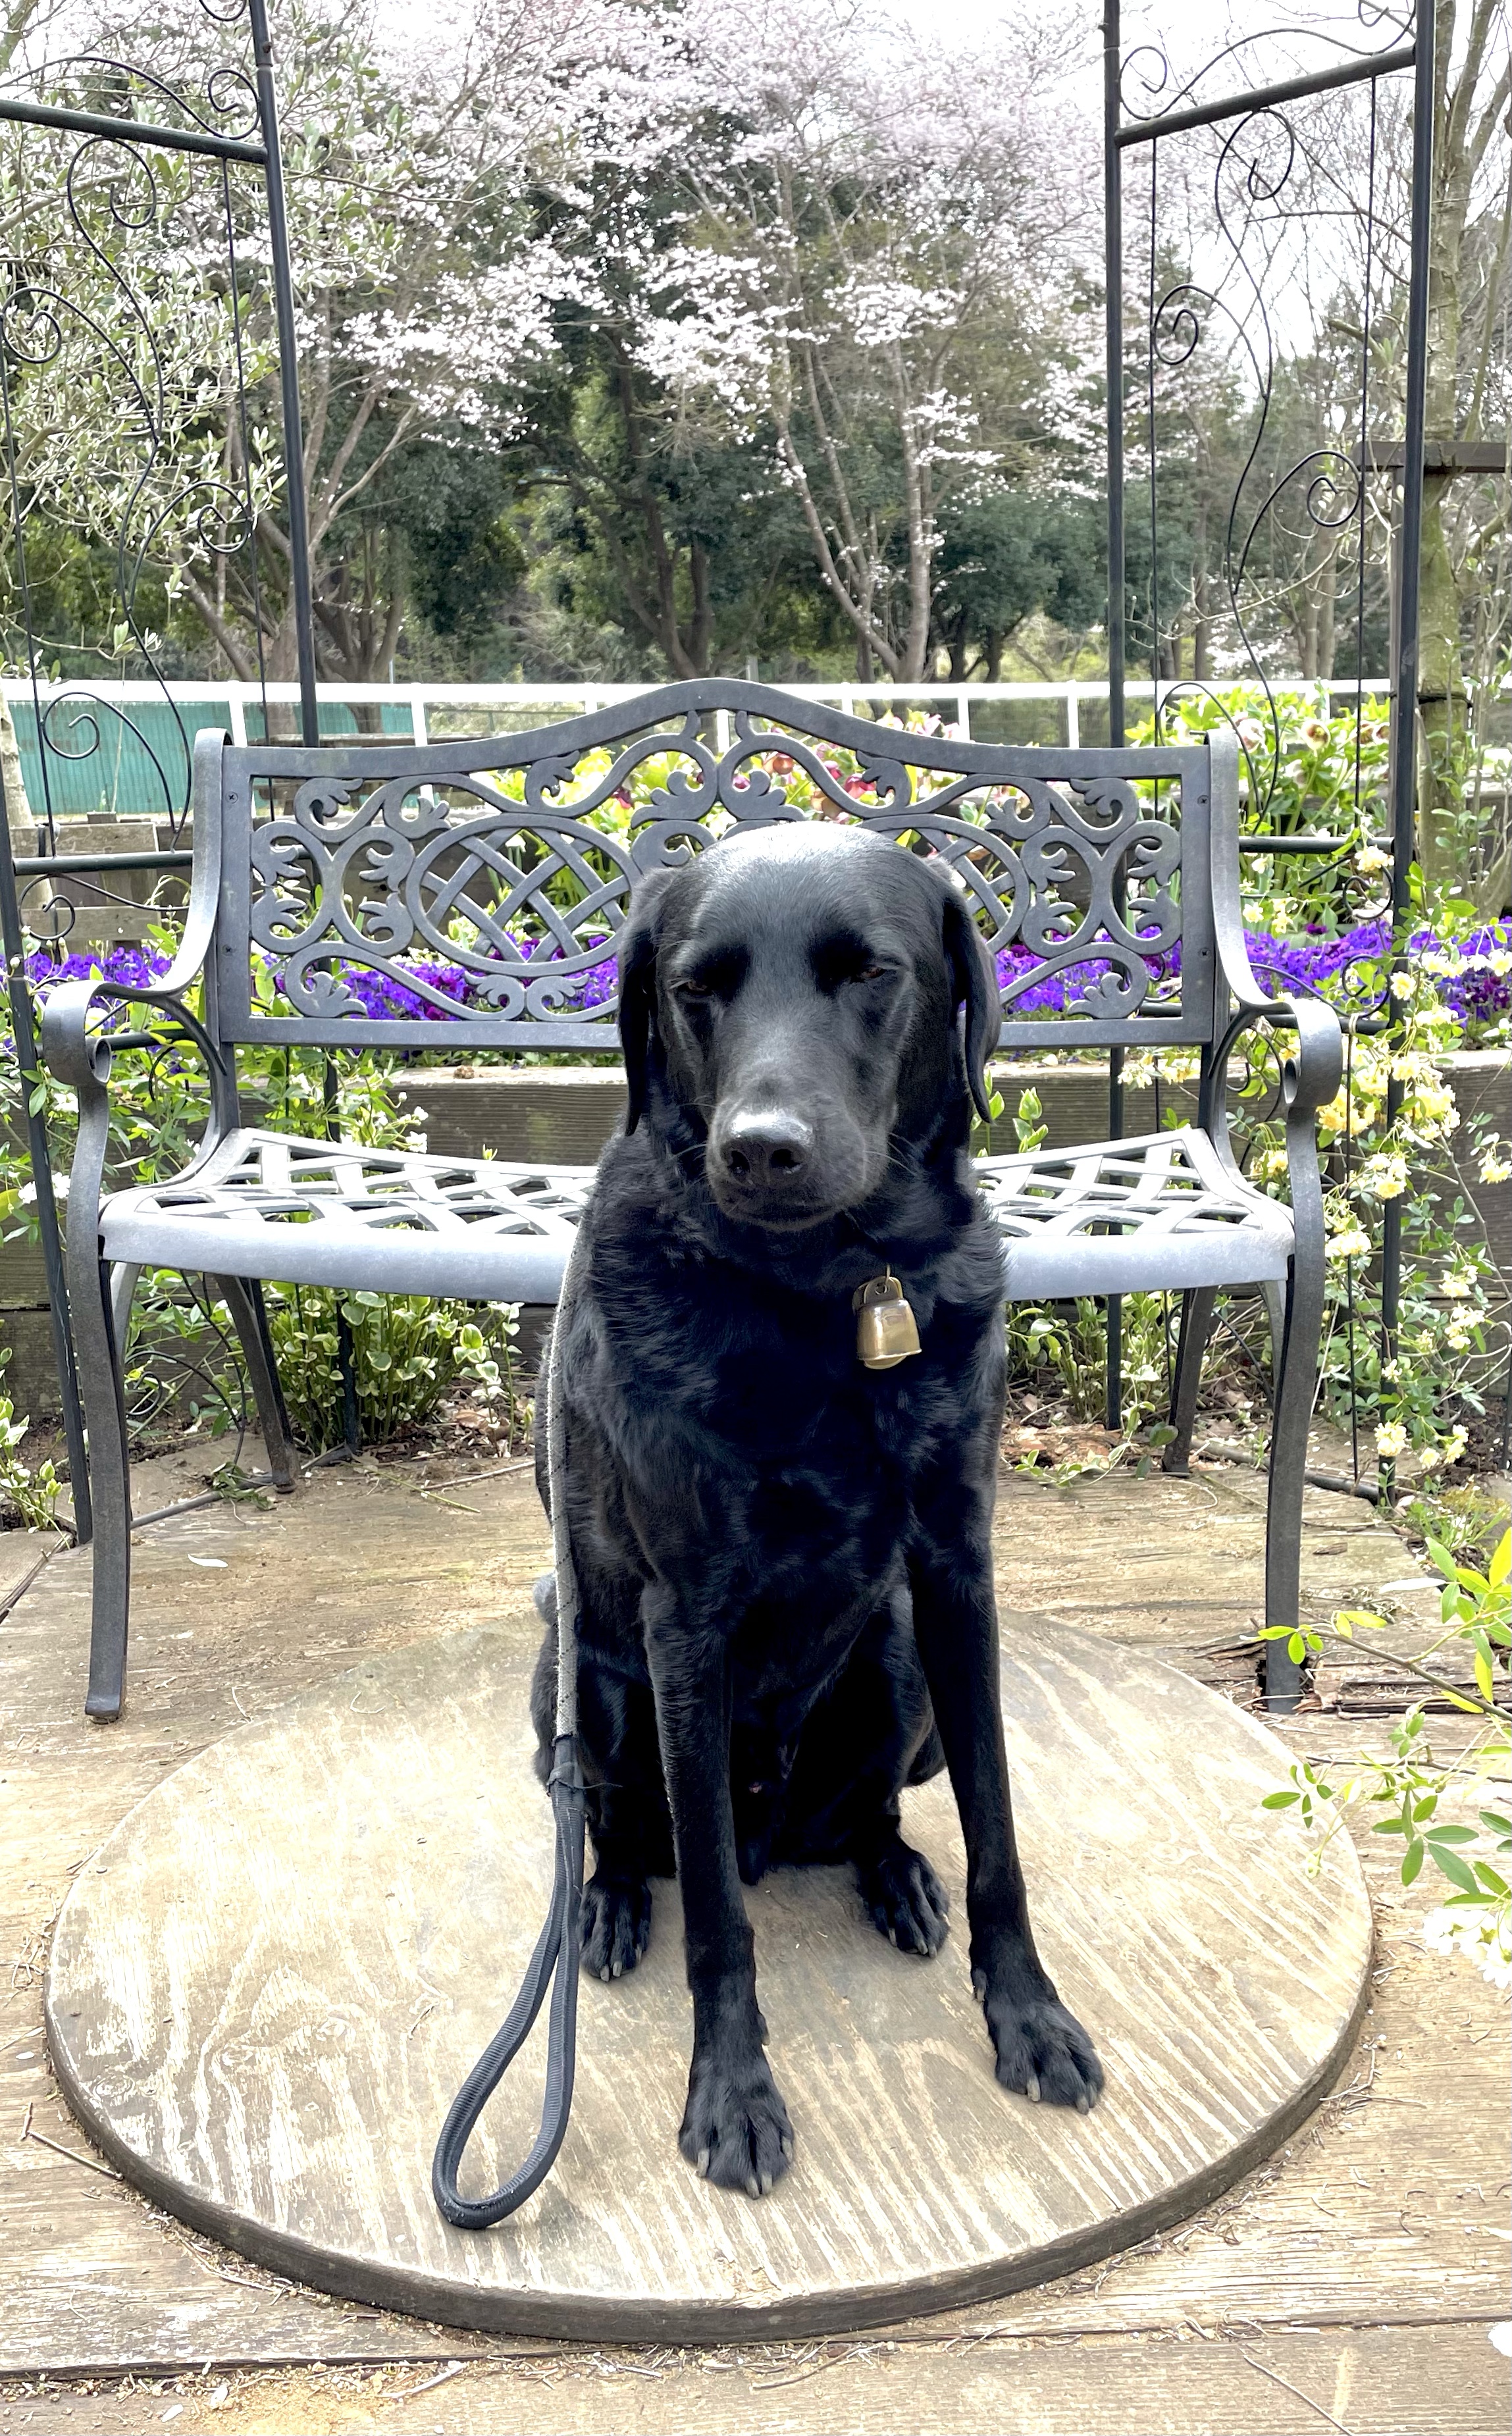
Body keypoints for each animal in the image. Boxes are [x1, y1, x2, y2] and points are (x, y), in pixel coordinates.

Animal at [531, 820, 1103, 2195]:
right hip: (584, 1682)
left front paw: (1028, 2015)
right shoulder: (684, 1624)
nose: (760, 1147)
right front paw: (731, 2092)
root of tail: (768, 1823)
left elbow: (1000, 1832)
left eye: (870, 972)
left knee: (872, 1811)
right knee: (622, 1825)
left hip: (894, 1668)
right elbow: (716, 1923)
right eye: (697, 988)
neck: (833, 1293)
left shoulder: (954, 1573)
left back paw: (893, 1878)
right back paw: (610, 1902)